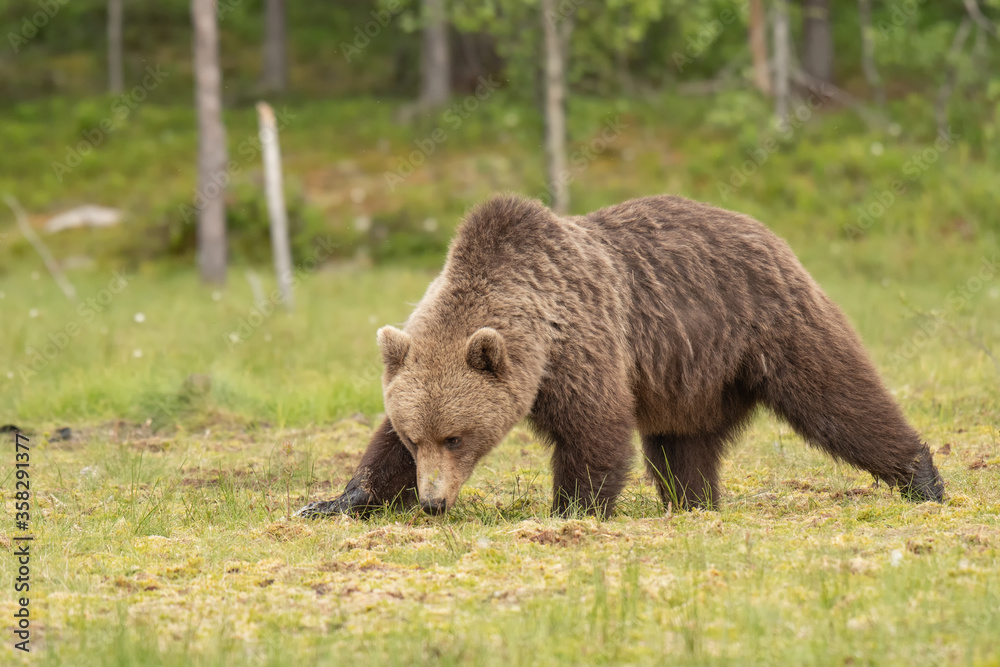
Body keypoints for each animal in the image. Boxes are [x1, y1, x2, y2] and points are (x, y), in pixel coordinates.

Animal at [298, 196, 944, 520]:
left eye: (457, 437)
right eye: (418, 439)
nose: (433, 502)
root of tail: (767, 231)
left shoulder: (583, 345)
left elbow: (595, 431)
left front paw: (571, 511)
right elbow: (378, 448)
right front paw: (334, 501)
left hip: (770, 325)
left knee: (839, 397)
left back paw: (923, 478)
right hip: (690, 380)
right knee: (682, 447)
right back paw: (692, 503)